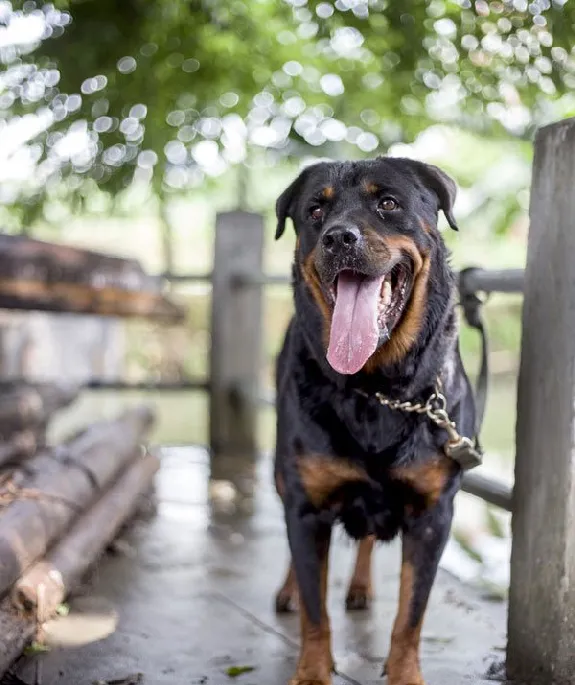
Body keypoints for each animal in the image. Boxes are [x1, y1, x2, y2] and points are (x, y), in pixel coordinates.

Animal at [274, 158, 476, 680]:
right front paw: (311, 672)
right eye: (315, 210)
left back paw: (361, 587)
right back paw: (288, 590)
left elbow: (411, 614)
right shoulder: (306, 504)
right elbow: (315, 609)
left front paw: (405, 674)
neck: (379, 389)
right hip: (282, 476)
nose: (338, 238)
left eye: (387, 203)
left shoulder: (433, 515)